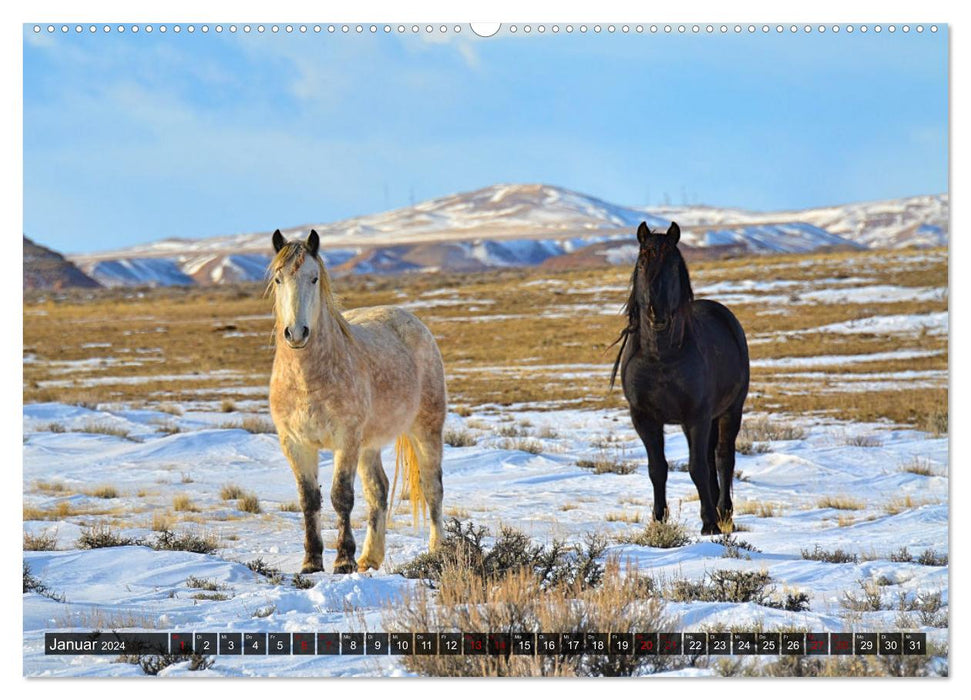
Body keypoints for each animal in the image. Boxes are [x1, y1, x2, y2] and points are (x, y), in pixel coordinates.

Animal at [266, 230, 448, 576]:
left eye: (314, 278)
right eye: (279, 279)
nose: (296, 333)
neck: (308, 379)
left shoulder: (346, 441)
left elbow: (341, 496)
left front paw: (343, 561)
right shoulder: (294, 443)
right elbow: (308, 500)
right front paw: (311, 561)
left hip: (426, 430)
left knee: (433, 488)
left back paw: (436, 552)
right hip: (370, 445)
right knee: (378, 490)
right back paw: (370, 558)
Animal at [616, 223, 752, 536]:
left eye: (674, 265)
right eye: (641, 263)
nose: (657, 314)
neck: (660, 357)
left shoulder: (696, 416)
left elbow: (697, 467)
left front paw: (709, 524)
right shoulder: (643, 418)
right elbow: (658, 468)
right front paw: (658, 521)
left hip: (730, 410)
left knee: (723, 458)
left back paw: (724, 513)